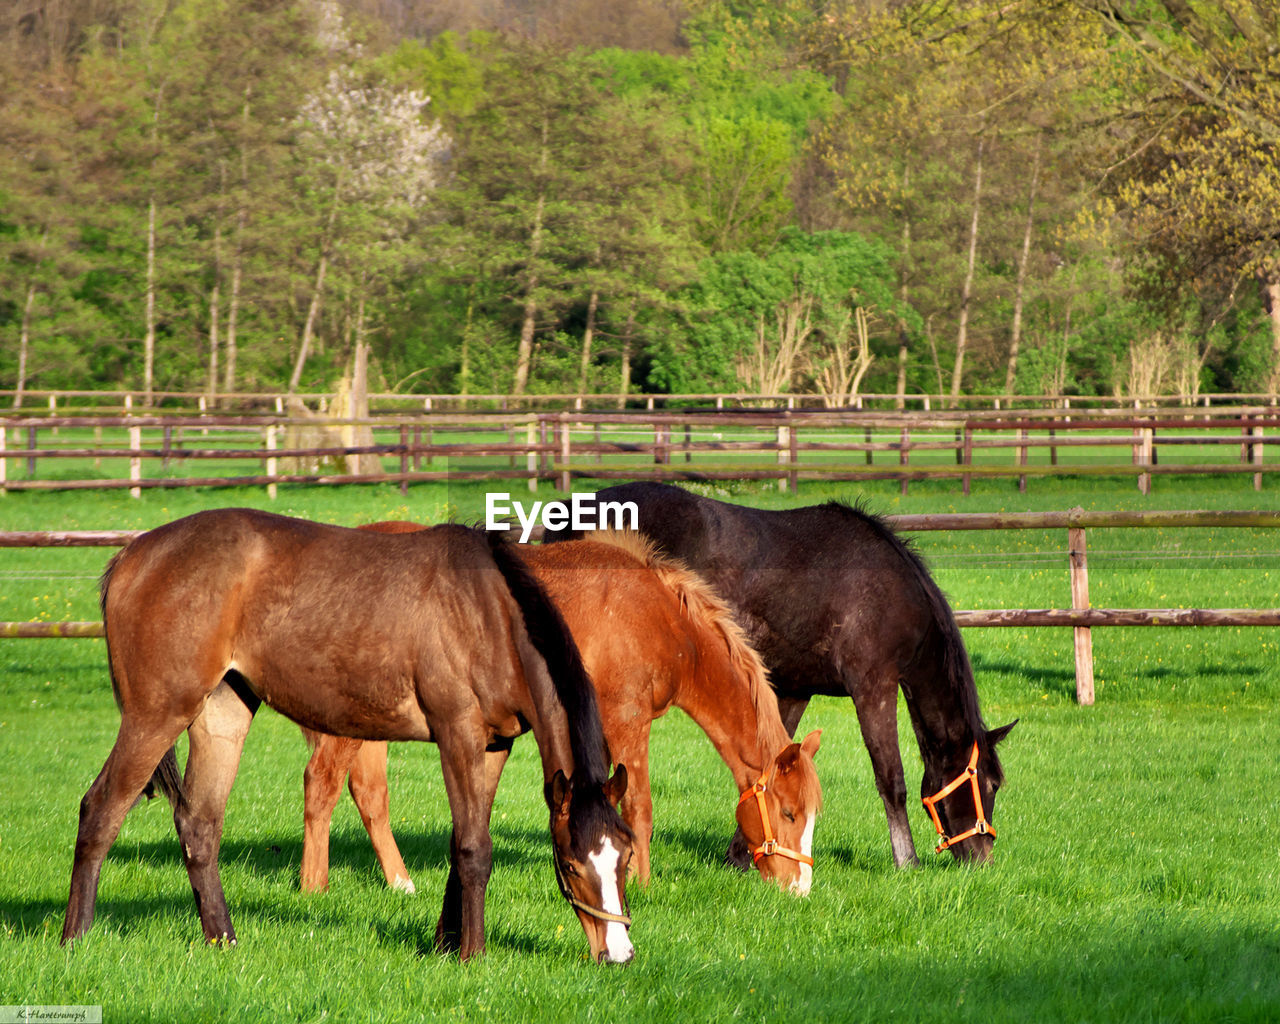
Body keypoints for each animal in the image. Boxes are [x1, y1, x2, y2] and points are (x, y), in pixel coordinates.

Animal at [64, 506, 634, 962]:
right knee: (100, 809)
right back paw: (76, 939)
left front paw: (443, 942)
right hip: (156, 714)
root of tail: (133, 555)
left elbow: (461, 844)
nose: (619, 953)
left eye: (624, 857)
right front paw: (471, 954)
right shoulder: (458, 735)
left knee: (199, 823)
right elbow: (474, 849)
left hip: (222, 712)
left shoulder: (495, 745)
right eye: (570, 864)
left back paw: (223, 940)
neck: (485, 612)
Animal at [298, 524, 819, 901]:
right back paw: (313, 888)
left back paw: (399, 882)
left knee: (369, 794)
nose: (801, 889)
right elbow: (640, 807)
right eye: (789, 813)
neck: (662, 621)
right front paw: (642, 884)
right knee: (321, 784)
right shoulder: (628, 722)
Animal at [555, 483, 1013, 870]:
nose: (984, 859)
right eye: (990, 784)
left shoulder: (794, 689)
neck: (889, 589)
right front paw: (907, 862)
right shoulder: (874, 686)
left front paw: (743, 857)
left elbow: (770, 768)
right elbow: (891, 779)